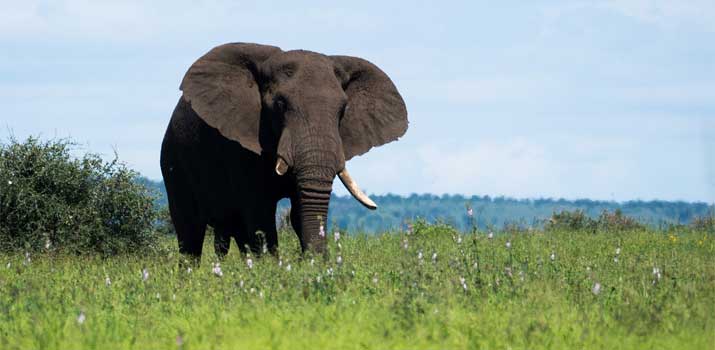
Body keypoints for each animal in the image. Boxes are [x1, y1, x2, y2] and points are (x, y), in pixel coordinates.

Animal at [161, 43, 408, 262]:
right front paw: (273, 269)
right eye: (280, 104)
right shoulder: (239, 145)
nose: (318, 261)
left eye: (343, 110)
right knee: (189, 231)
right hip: (173, 160)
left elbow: (298, 210)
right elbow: (260, 213)